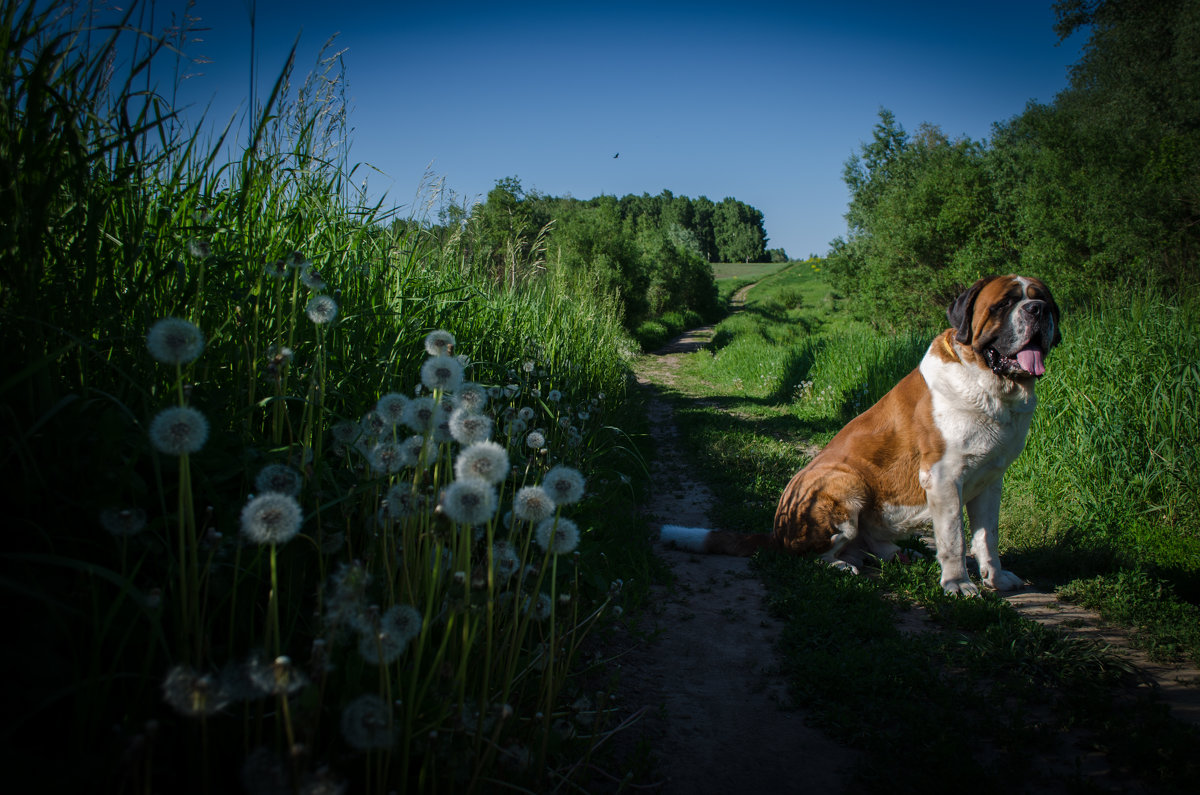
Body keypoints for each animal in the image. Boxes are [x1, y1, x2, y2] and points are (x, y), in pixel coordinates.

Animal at [662, 277, 1065, 595]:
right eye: (1004, 304)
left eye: (1043, 298)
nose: (1037, 309)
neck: (988, 384)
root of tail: (777, 532)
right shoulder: (944, 477)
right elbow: (954, 537)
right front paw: (958, 584)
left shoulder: (991, 480)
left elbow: (986, 536)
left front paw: (996, 579)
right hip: (844, 482)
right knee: (809, 555)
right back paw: (843, 565)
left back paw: (897, 554)